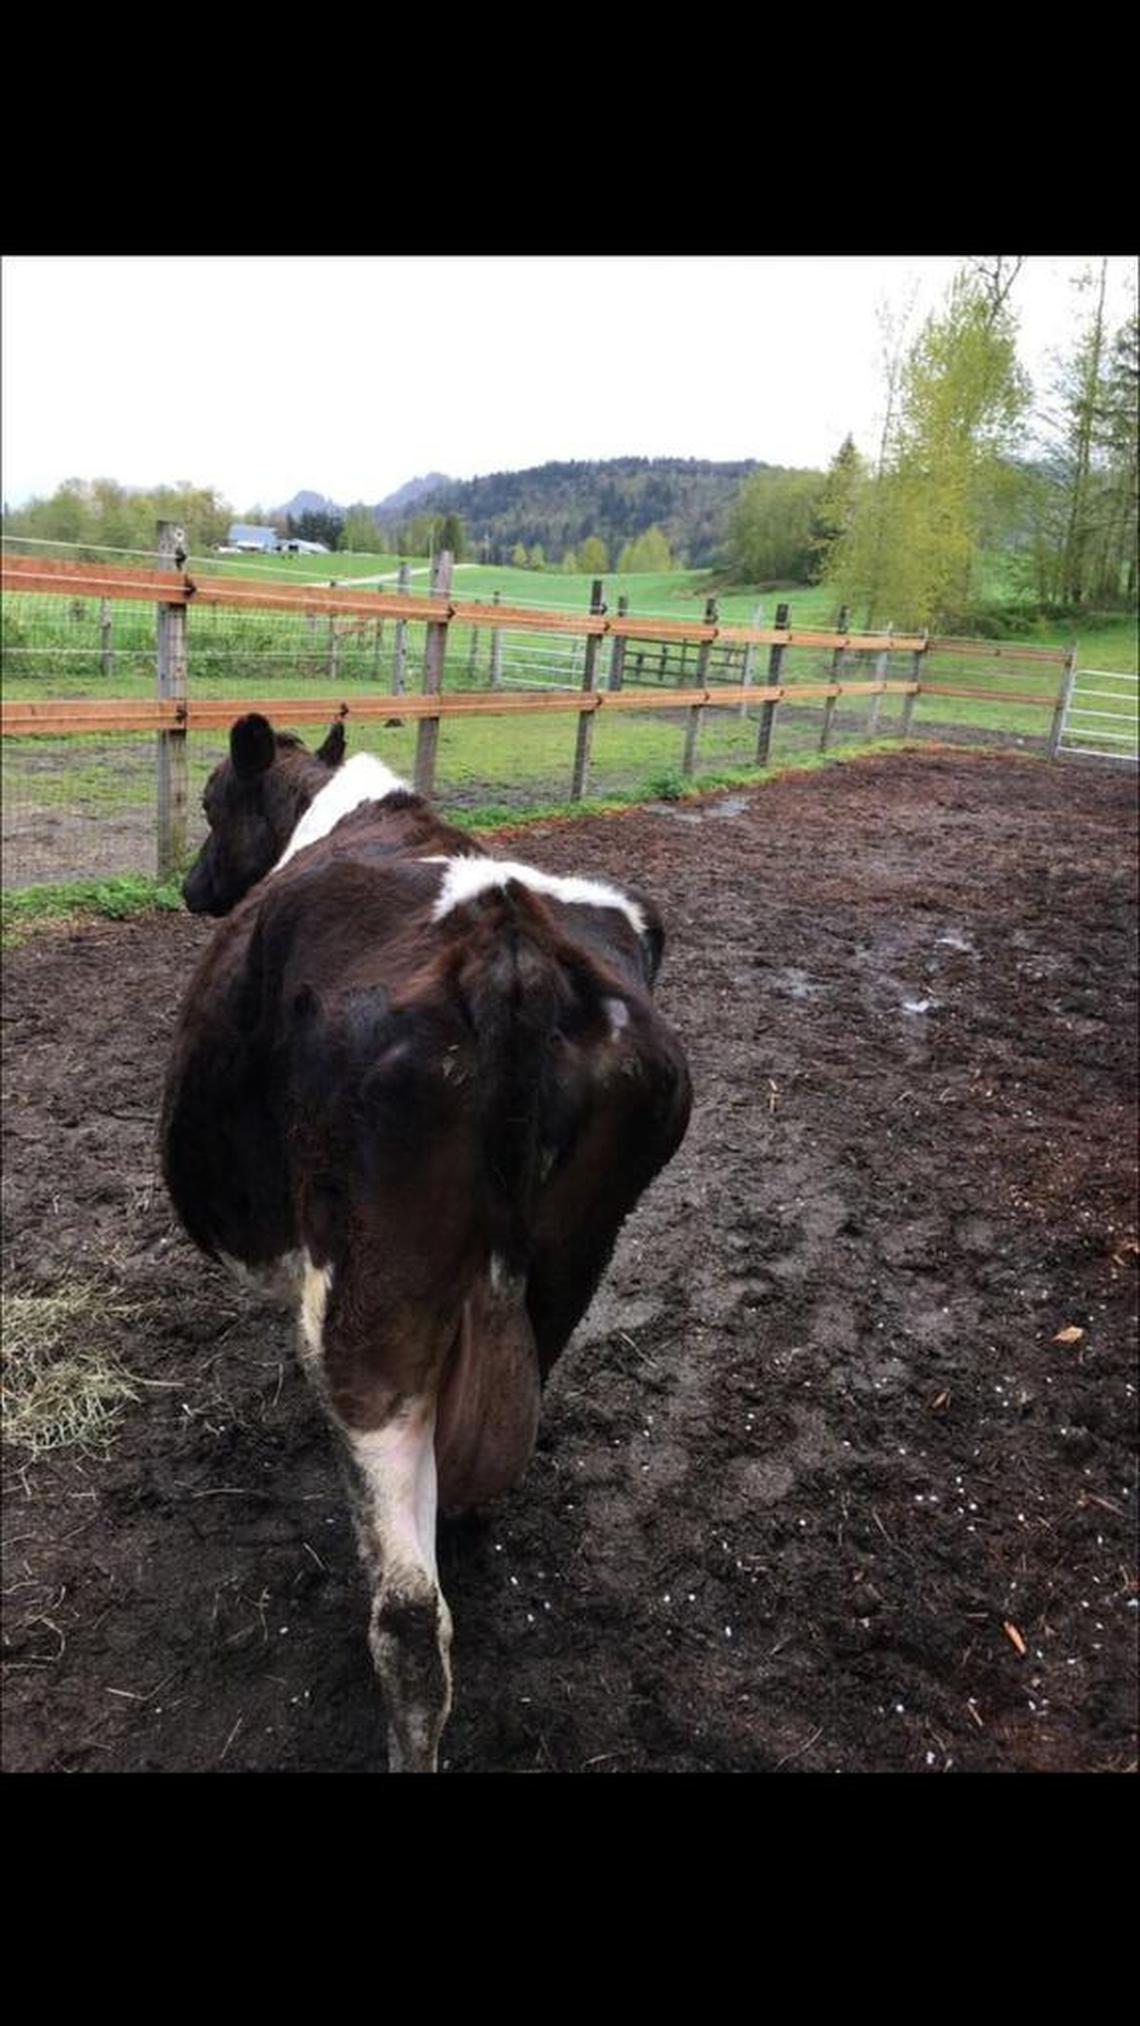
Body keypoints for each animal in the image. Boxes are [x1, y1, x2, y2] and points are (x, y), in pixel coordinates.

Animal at [161, 713, 692, 1771]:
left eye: (211, 801)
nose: (192, 888)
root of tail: (510, 951)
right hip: (565, 1272)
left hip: (369, 1314)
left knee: (407, 1618)